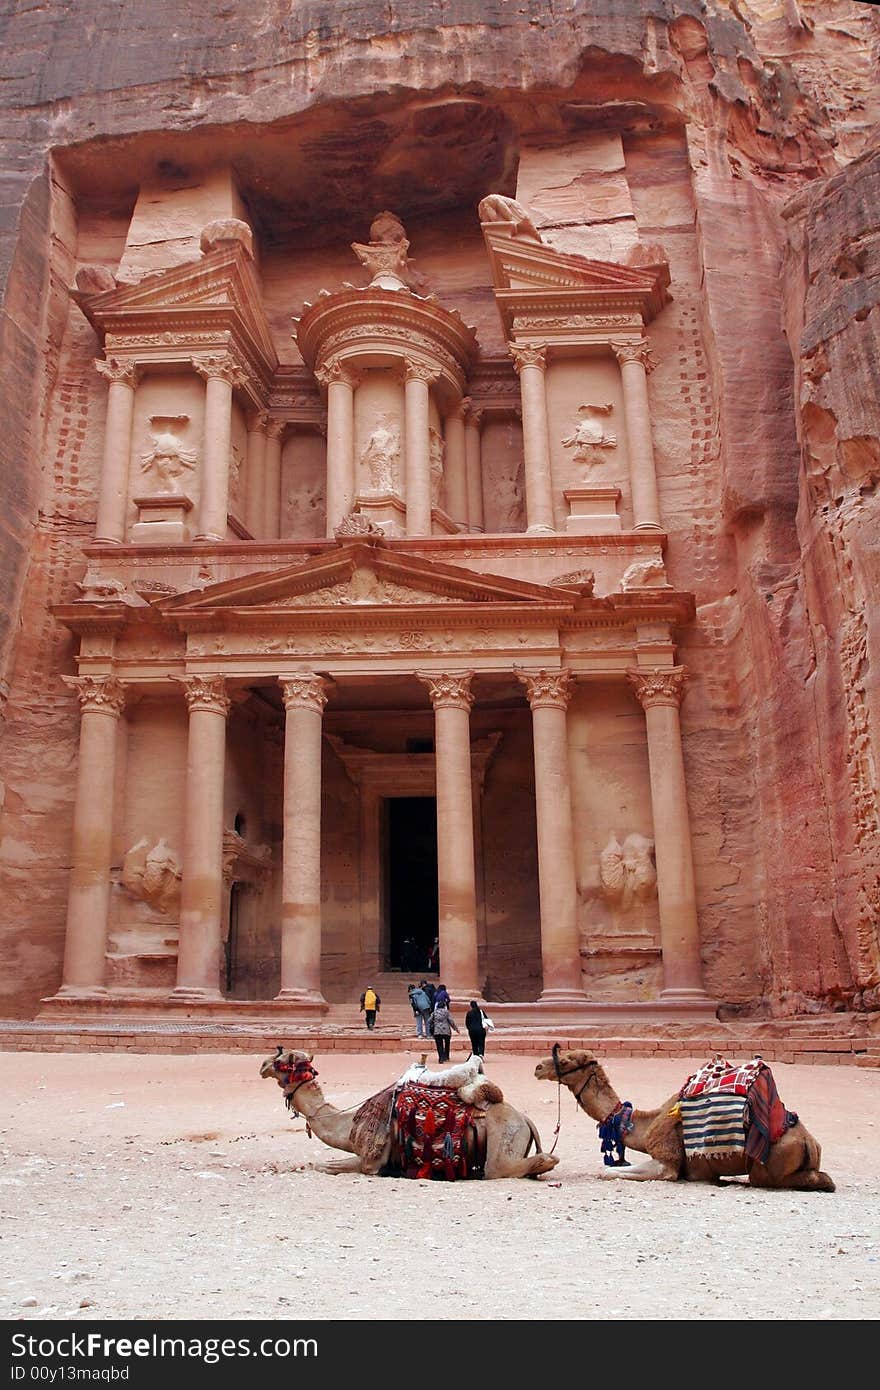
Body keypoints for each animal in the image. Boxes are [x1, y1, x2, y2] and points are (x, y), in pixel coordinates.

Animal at [258, 1045, 556, 1178]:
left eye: (282, 1061)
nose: (262, 1065)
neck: (349, 1124)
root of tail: (524, 1118)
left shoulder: (372, 1161)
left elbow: (326, 1166)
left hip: (504, 1136)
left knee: (502, 1167)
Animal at [531, 1045, 834, 1189]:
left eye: (567, 1060)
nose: (537, 1068)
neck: (645, 1123)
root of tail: (810, 1143)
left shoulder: (668, 1161)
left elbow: (608, 1171)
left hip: (766, 1168)